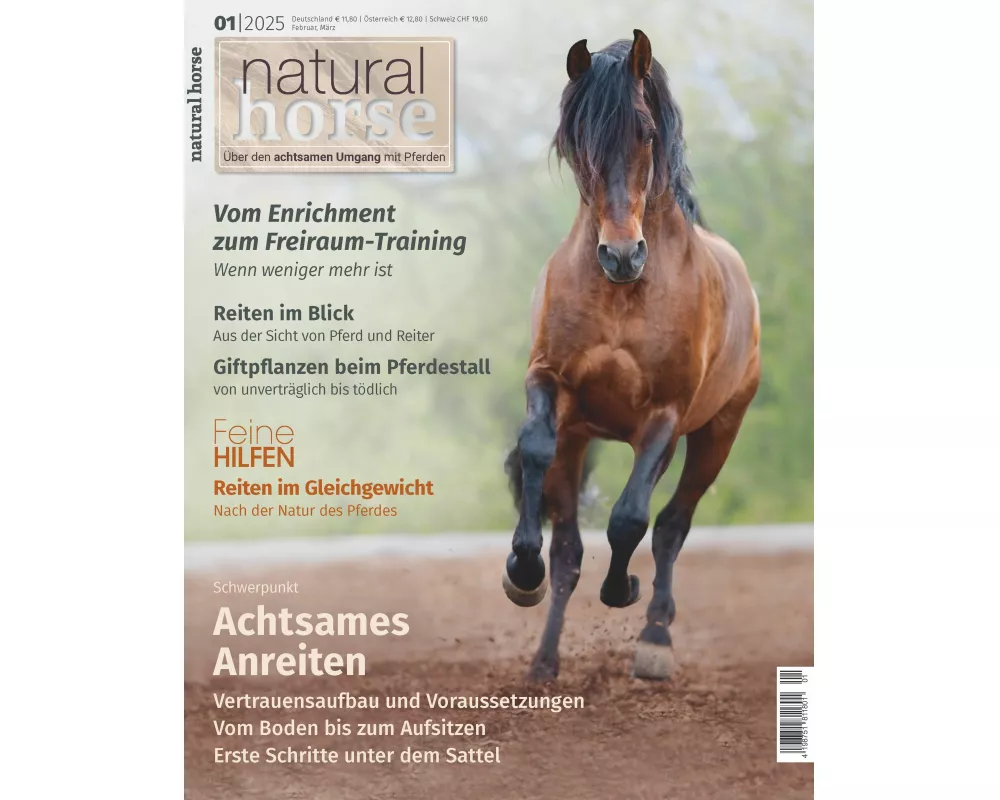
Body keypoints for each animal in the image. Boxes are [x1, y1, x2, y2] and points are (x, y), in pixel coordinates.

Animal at [502, 30, 761, 683]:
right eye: (577, 141)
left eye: (645, 131)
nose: (622, 256)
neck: (624, 296)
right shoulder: (550, 384)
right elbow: (536, 454)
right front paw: (521, 572)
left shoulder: (664, 417)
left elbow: (629, 519)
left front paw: (622, 591)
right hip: (581, 436)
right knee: (569, 548)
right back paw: (544, 661)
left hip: (719, 431)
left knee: (671, 526)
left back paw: (654, 640)